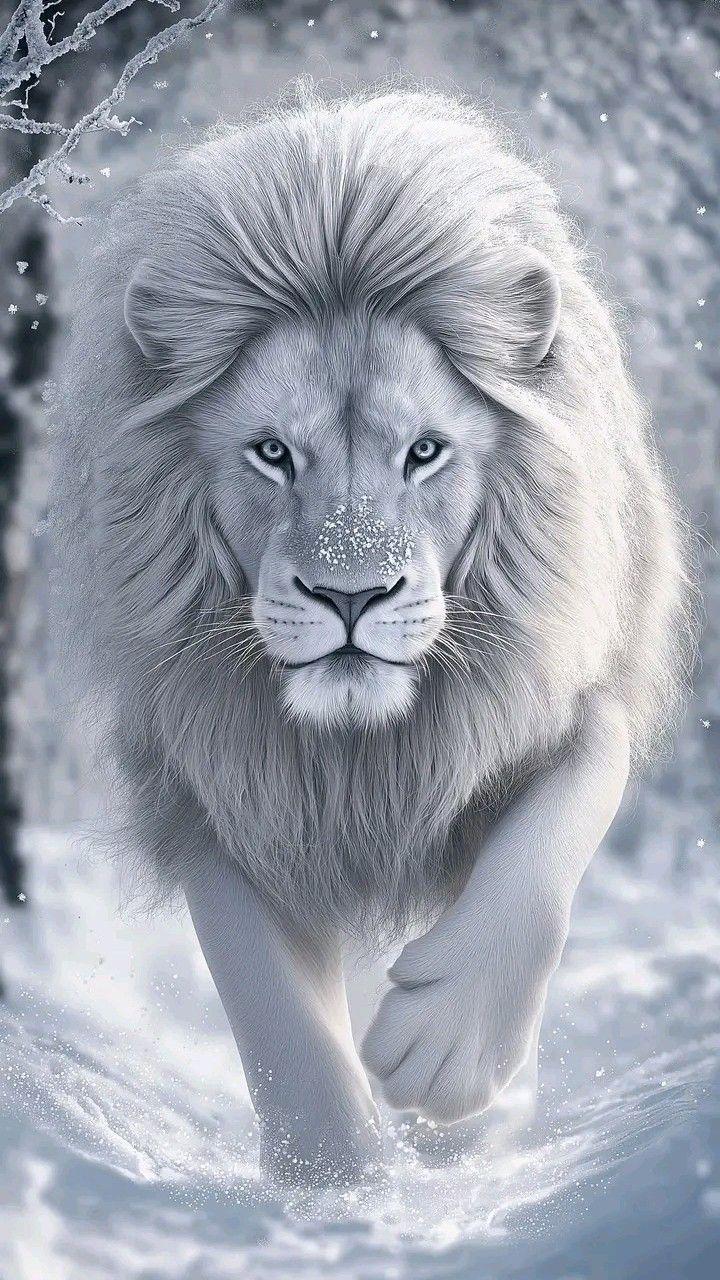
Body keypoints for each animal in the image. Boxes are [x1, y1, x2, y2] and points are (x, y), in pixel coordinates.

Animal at [49, 86, 691, 1186]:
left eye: (425, 451)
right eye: (271, 453)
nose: (350, 595)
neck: (359, 748)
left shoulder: (564, 693)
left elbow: (552, 843)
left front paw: (446, 1058)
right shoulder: (209, 777)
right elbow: (267, 997)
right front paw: (330, 1170)